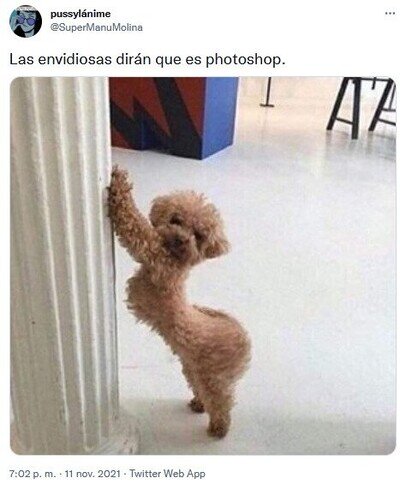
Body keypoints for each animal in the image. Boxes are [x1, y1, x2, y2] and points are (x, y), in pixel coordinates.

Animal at [108, 166, 251, 438]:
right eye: (176, 220)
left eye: (199, 235)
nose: (182, 239)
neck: (177, 257)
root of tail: (243, 337)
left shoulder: (155, 255)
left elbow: (136, 225)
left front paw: (120, 184)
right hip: (193, 369)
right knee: (201, 391)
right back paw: (198, 404)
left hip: (214, 379)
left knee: (222, 402)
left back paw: (219, 428)